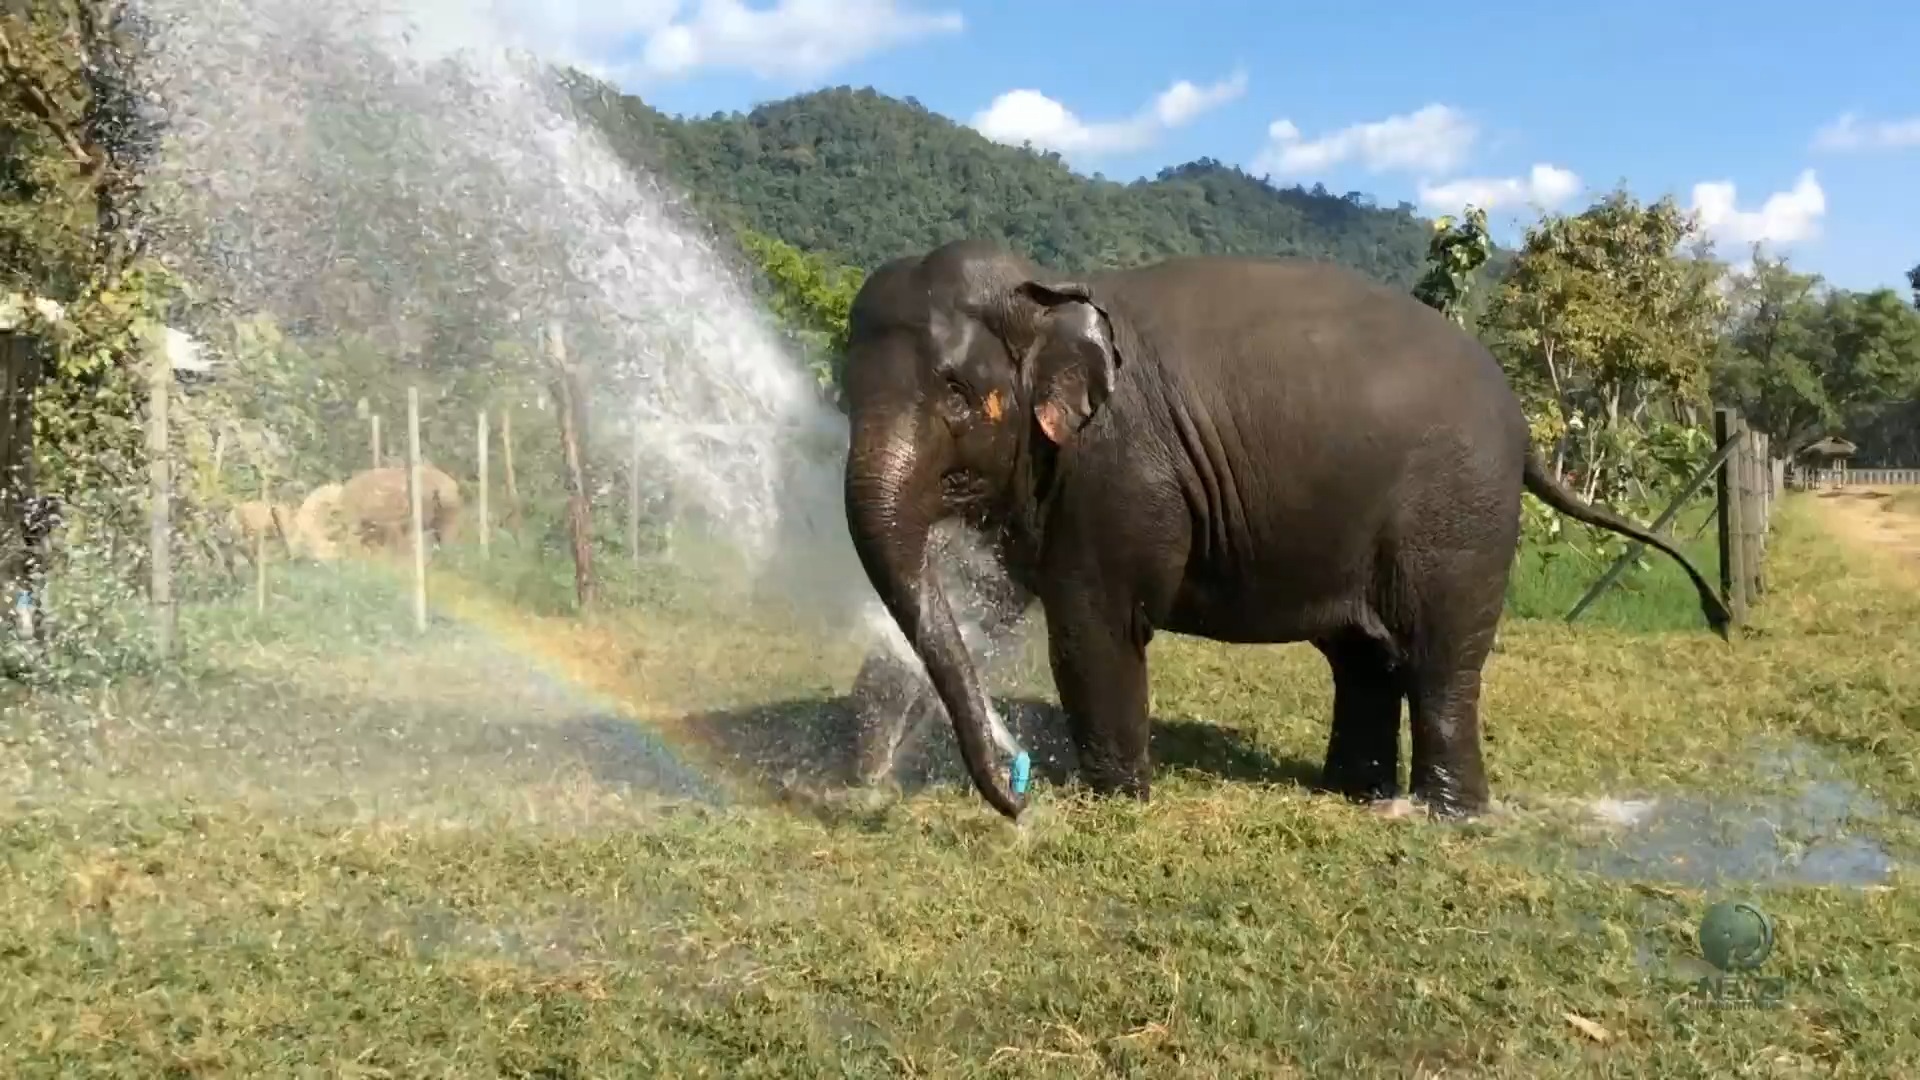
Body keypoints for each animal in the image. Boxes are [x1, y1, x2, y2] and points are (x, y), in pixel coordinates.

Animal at [840, 239, 1728, 818]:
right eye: (845, 393)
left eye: (956, 393)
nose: (1015, 796)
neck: (1047, 290)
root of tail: (1523, 424)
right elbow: (982, 609)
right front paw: (867, 767)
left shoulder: (1119, 474)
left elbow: (1095, 626)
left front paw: (1118, 804)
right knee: (1366, 657)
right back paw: (1356, 792)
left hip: (1462, 512)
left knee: (1442, 661)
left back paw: (1447, 817)